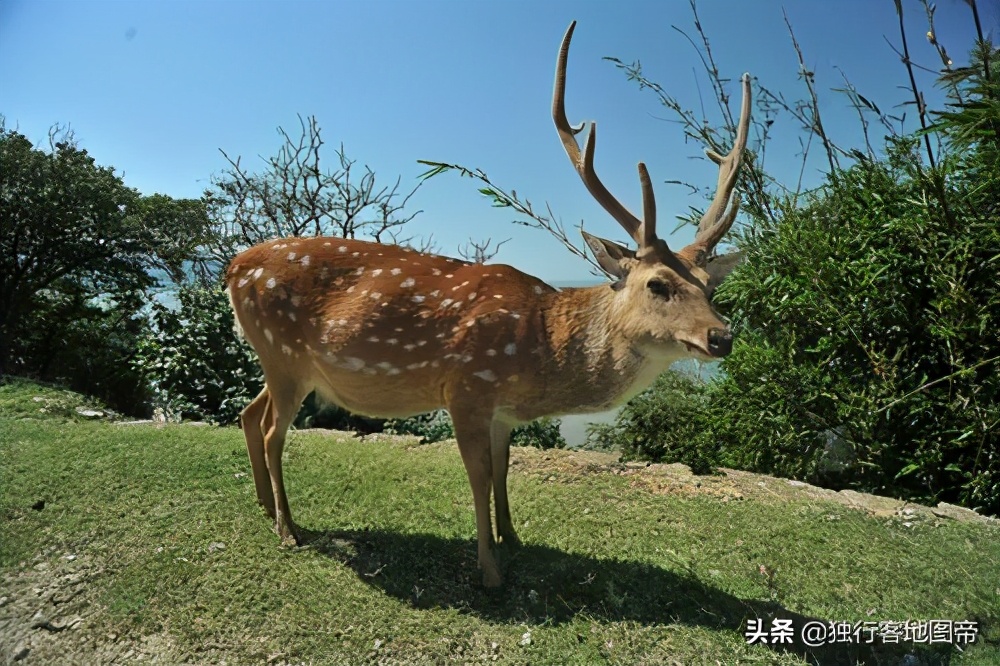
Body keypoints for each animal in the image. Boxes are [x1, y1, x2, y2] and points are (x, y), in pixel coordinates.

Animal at [226, 20, 751, 588]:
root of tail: (232, 267)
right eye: (657, 284)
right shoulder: (467, 387)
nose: (722, 336)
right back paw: (288, 529)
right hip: (284, 353)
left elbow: (502, 469)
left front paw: (513, 538)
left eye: (710, 286)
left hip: (279, 358)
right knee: (274, 431)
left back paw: (264, 507)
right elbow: (477, 476)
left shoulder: (501, 409)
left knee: (248, 413)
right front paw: (490, 571)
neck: (538, 348)